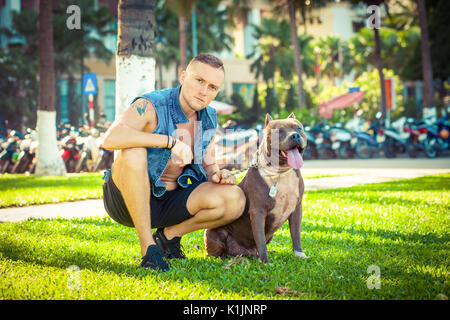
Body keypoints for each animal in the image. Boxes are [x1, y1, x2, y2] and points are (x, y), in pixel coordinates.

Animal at [206, 114, 308, 264]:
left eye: (299, 128)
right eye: (279, 131)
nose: (295, 135)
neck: (280, 173)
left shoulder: (296, 209)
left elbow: (296, 234)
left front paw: (299, 254)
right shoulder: (258, 212)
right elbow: (260, 239)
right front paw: (265, 262)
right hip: (214, 233)